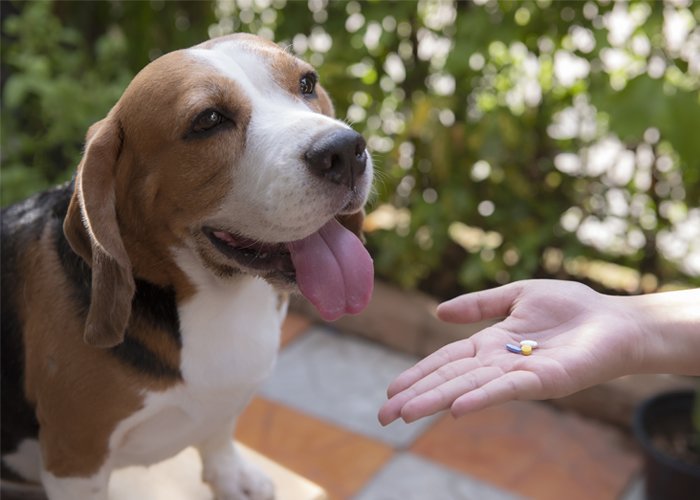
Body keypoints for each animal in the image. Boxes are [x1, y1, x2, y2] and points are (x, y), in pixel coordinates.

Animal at [1, 33, 372, 498]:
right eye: (208, 120)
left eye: (307, 83)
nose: (345, 150)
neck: (220, 300)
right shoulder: (76, 458)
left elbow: (218, 432)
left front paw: (230, 475)